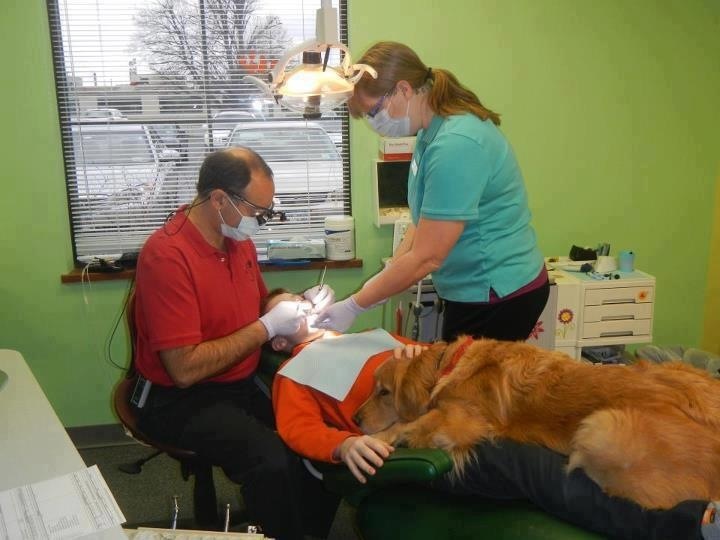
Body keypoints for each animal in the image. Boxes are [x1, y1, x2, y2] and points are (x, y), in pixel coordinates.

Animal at [352, 336, 720, 508]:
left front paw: (380, 439)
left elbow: (409, 424)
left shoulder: (460, 420)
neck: (450, 364)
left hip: (600, 427)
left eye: (384, 392)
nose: (354, 417)